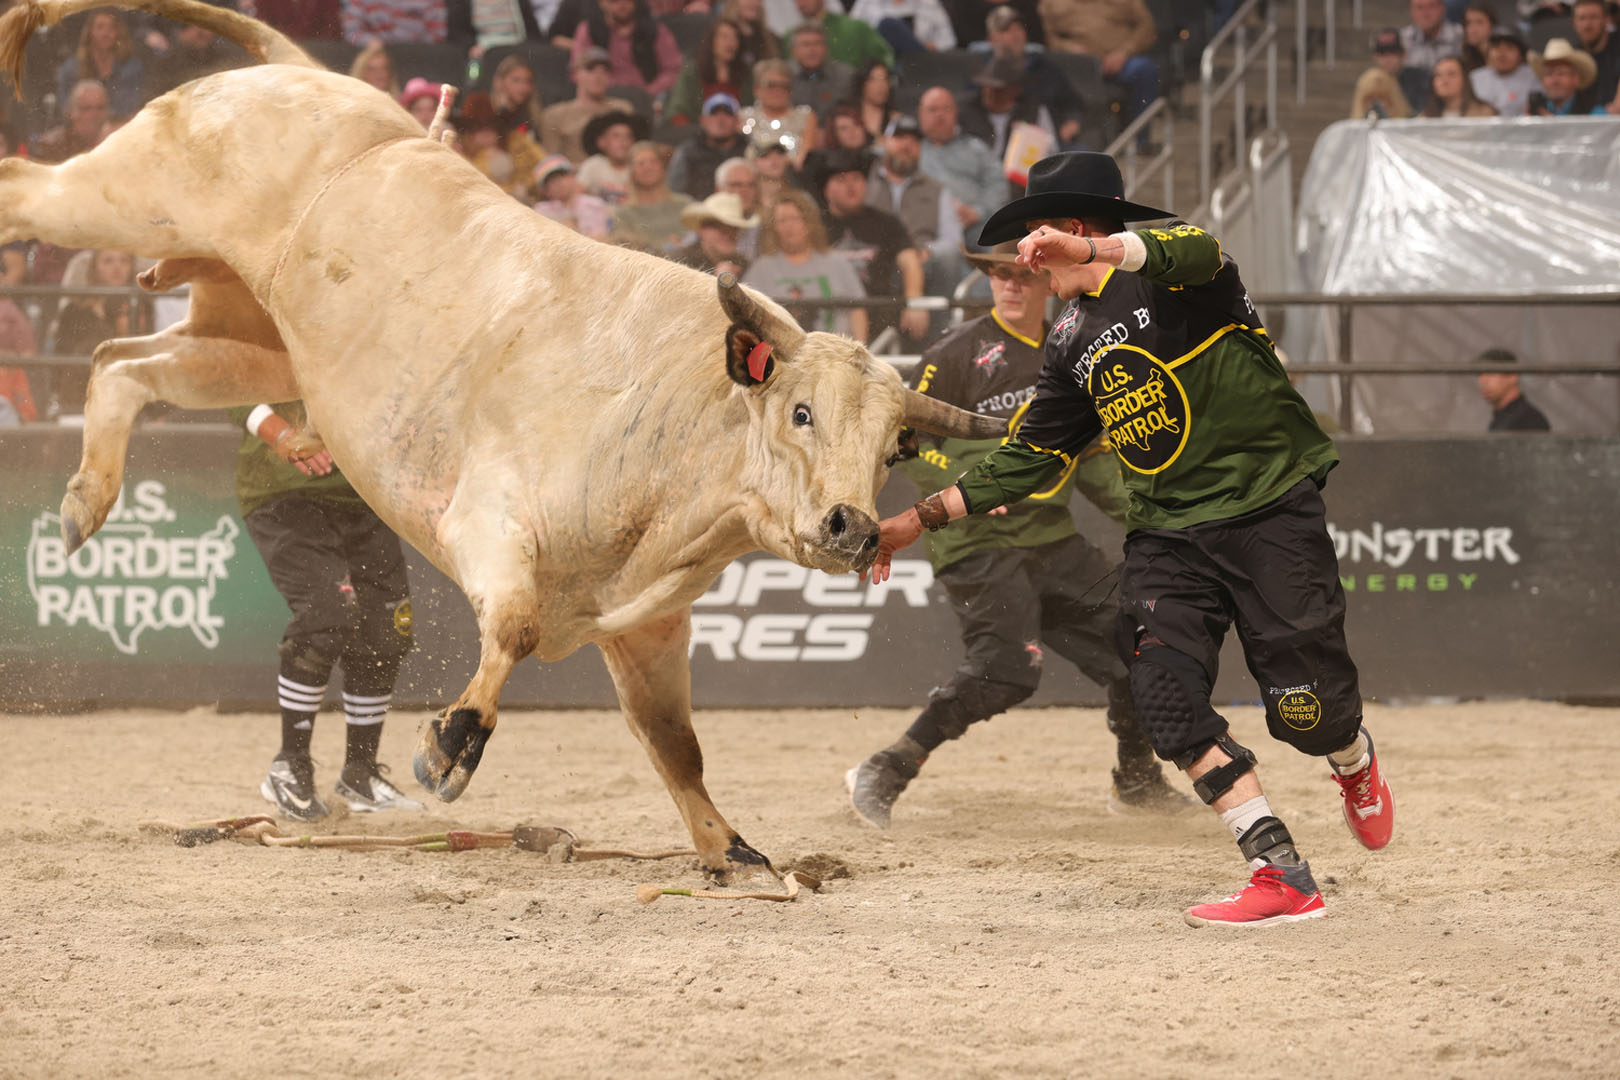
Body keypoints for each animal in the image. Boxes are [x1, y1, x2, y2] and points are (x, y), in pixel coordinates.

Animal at [0, 0, 1003, 883]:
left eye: (893, 449)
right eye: (800, 412)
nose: (852, 528)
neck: (676, 421)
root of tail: (307, 75)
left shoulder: (647, 626)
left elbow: (675, 743)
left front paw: (729, 848)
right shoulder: (486, 524)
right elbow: (513, 629)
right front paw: (448, 748)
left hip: (248, 340)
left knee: (120, 365)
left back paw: (86, 502)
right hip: (128, 192)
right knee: (24, 187)